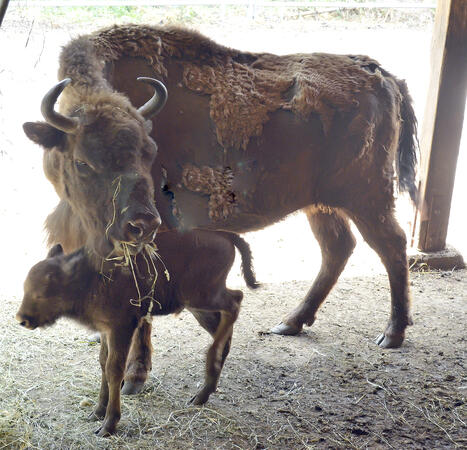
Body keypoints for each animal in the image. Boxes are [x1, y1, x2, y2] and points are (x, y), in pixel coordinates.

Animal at [16, 230, 258, 434]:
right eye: (26, 288)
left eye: (42, 293)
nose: (22, 319)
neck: (89, 278)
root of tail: (224, 234)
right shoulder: (106, 331)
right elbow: (103, 364)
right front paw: (96, 413)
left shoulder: (121, 328)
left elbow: (114, 370)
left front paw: (108, 424)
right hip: (198, 305)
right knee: (224, 323)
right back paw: (203, 390)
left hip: (201, 296)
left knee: (235, 300)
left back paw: (211, 358)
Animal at [23, 25, 418, 356]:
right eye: (82, 161)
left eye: (149, 152)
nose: (140, 223)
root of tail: (382, 75)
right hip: (321, 205)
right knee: (337, 248)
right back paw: (290, 323)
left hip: (367, 199)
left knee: (391, 246)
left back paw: (393, 333)